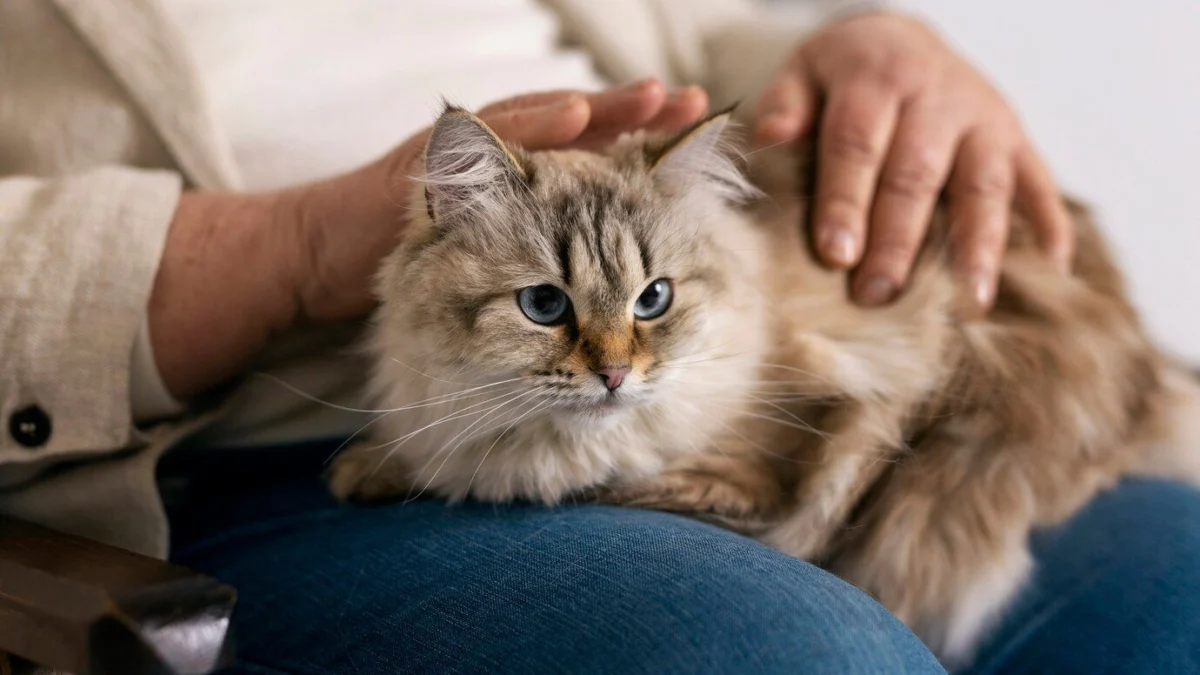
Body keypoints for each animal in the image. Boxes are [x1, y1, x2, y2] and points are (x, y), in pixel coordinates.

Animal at [326, 103, 1200, 662]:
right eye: (545, 305)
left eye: (654, 299)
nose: (614, 374)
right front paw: (370, 466)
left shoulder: (810, 440)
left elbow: (606, 477)